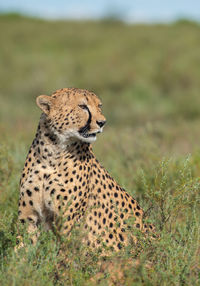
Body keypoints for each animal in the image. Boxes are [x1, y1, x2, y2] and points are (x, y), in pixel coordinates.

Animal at [17, 87, 155, 252]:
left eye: (99, 106)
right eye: (82, 106)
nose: (102, 122)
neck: (53, 152)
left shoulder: (68, 220)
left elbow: (65, 253)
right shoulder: (28, 217)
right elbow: (21, 249)